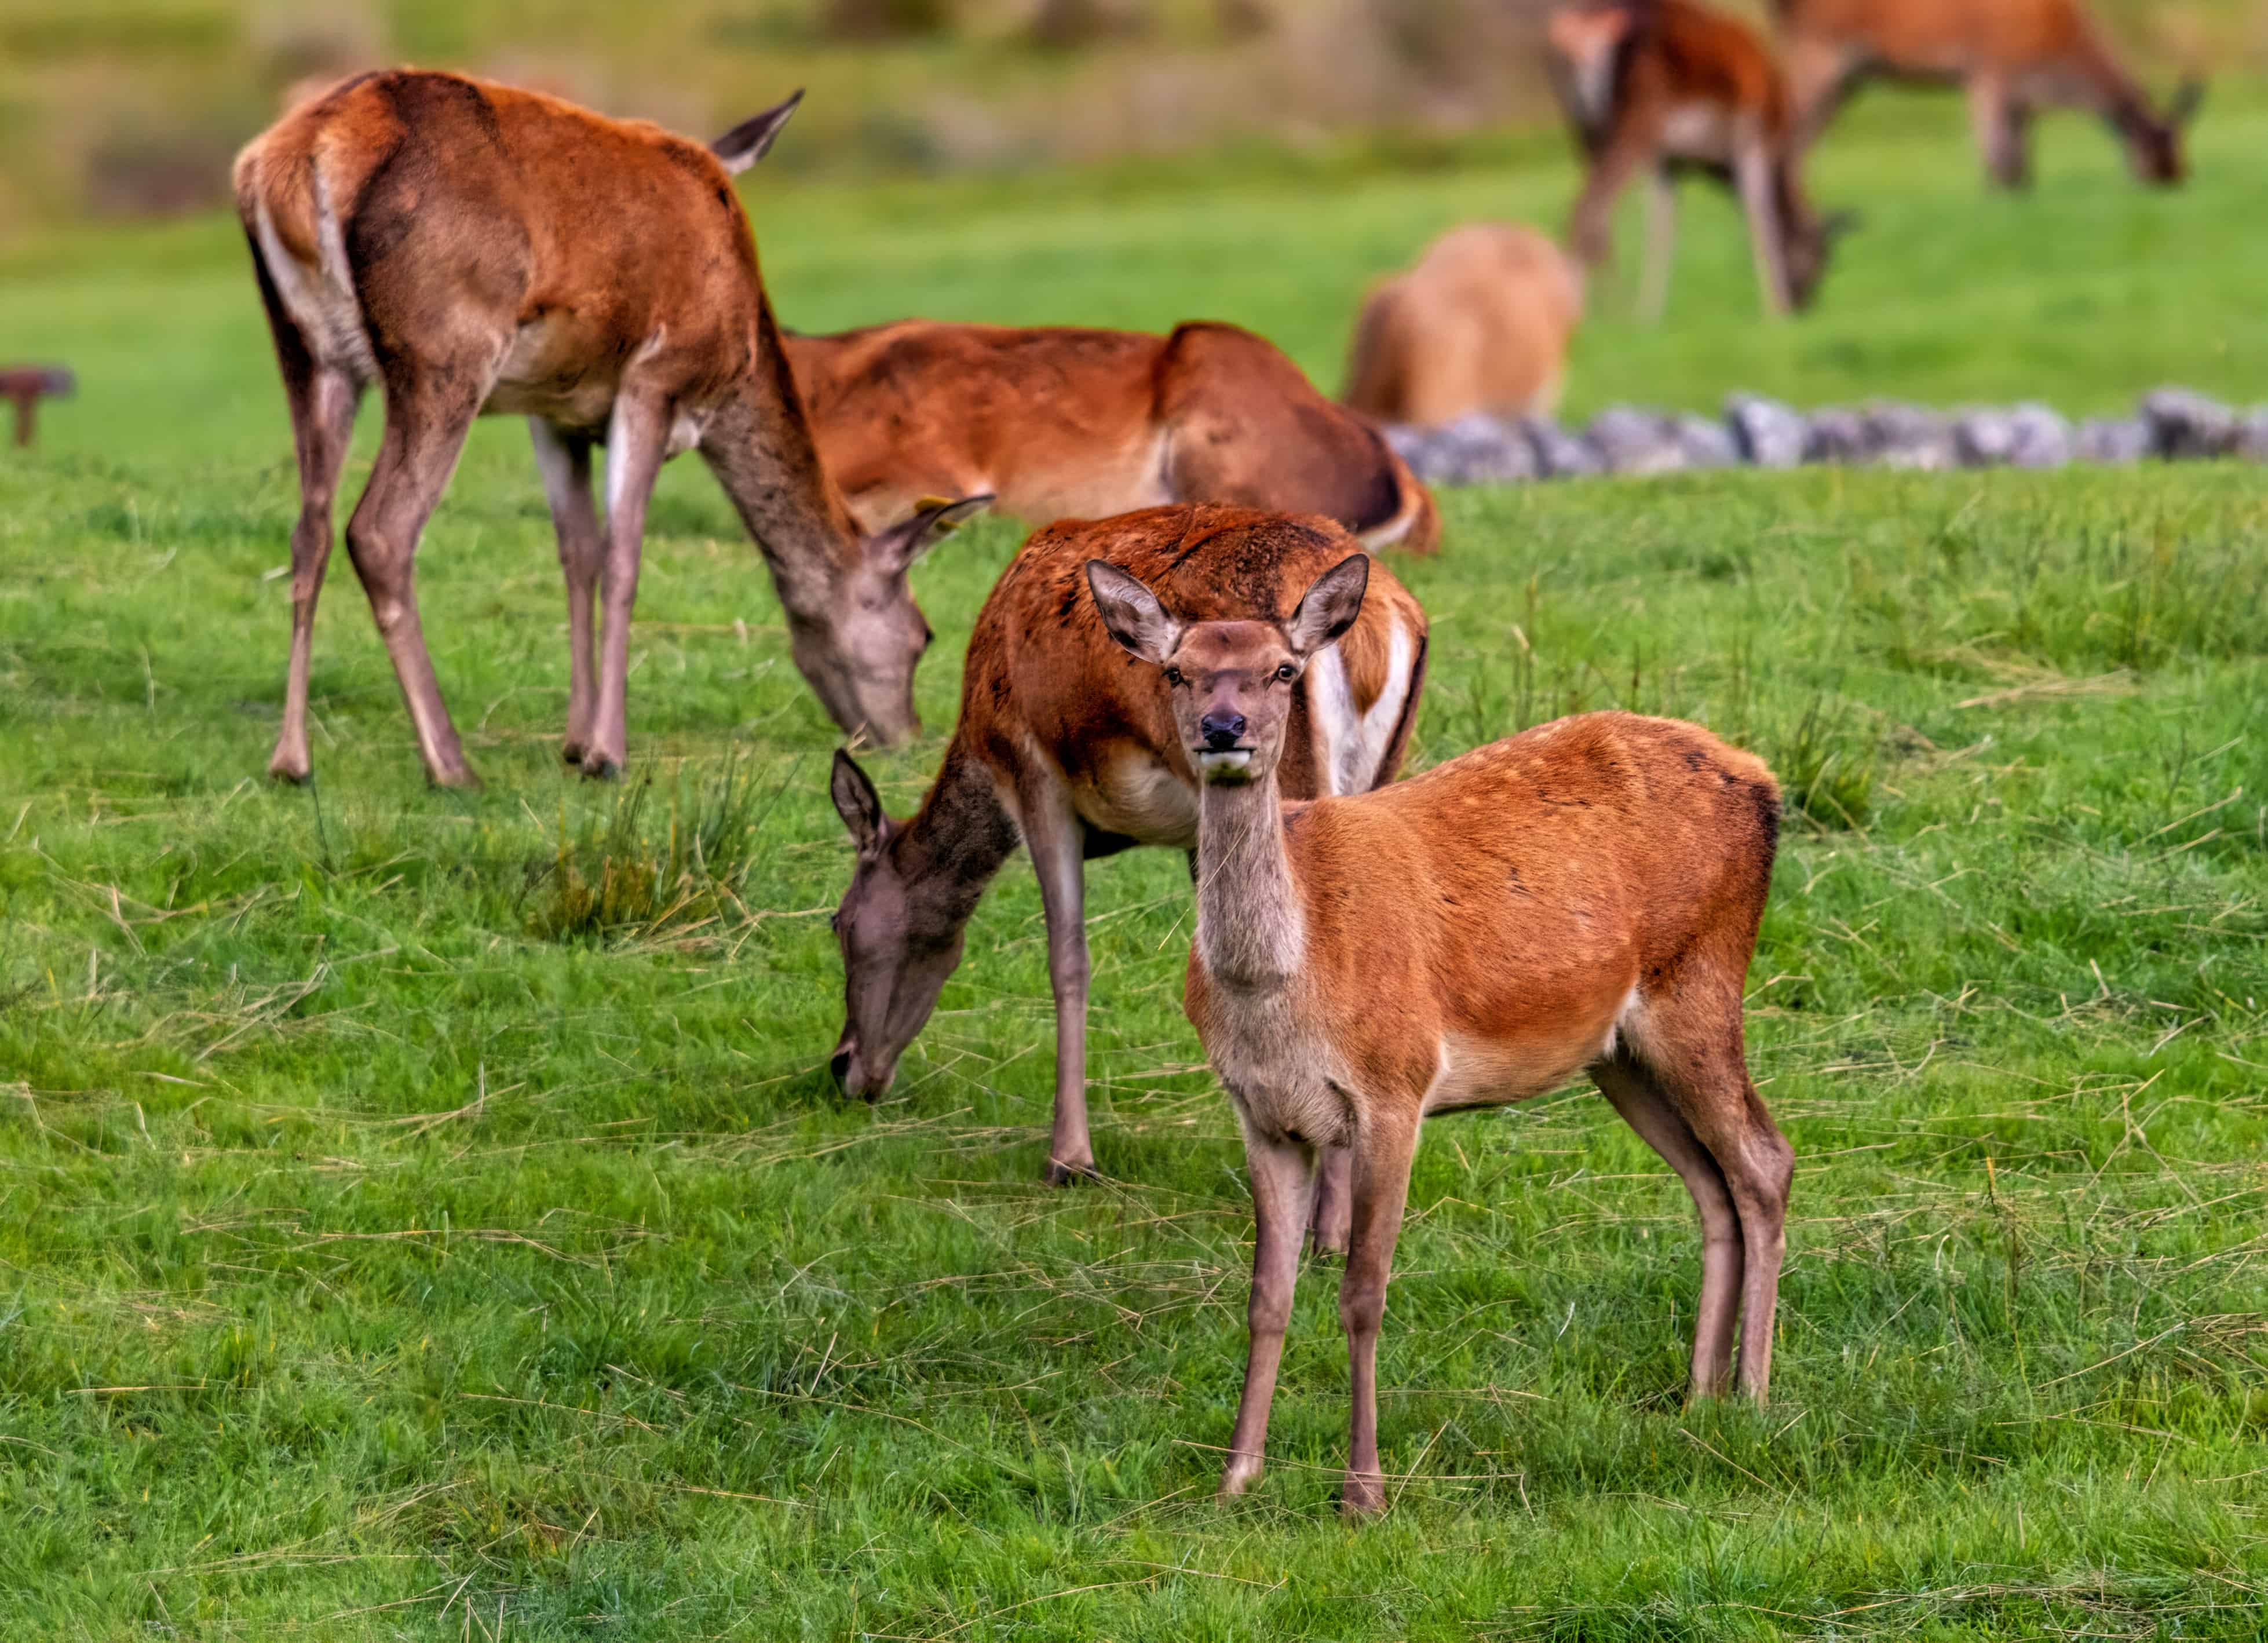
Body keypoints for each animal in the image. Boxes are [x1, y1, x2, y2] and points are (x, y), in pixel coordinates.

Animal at [239, 74, 984, 794]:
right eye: (925, 635)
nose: (905, 736)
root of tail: (299, 156)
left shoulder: (553, 409)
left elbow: (578, 553)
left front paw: (575, 741)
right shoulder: (656, 378)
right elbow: (625, 559)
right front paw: (607, 754)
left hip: (307, 352)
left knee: (309, 530)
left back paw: (290, 759)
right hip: (446, 348)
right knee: (379, 530)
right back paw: (451, 765)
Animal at [826, 503, 1424, 1216]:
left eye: (837, 923)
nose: (843, 1069)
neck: (978, 742)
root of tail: (1383, 630)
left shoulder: (1034, 775)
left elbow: (1068, 960)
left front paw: (1069, 1159)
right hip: (1378, 771)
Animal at [1542, 1, 1860, 320]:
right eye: (1822, 257)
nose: (1804, 305)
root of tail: (1576, 32)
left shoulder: (1668, 162)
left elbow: (1662, 233)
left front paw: (1649, 315)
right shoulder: (1751, 143)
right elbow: (1761, 222)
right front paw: (1774, 311)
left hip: (1589, 130)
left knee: (1590, 213)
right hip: (1639, 119)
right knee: (1588, 208)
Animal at [1778, 0, 2204, 189]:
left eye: (2183, 164)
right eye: (2157, 164)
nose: (2172, 182)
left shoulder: (2021, 98)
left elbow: (2022, 162)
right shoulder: (1987, 75)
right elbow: (1998, 156)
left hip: (1847, 79)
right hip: (1820, 59)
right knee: (1794, 135)